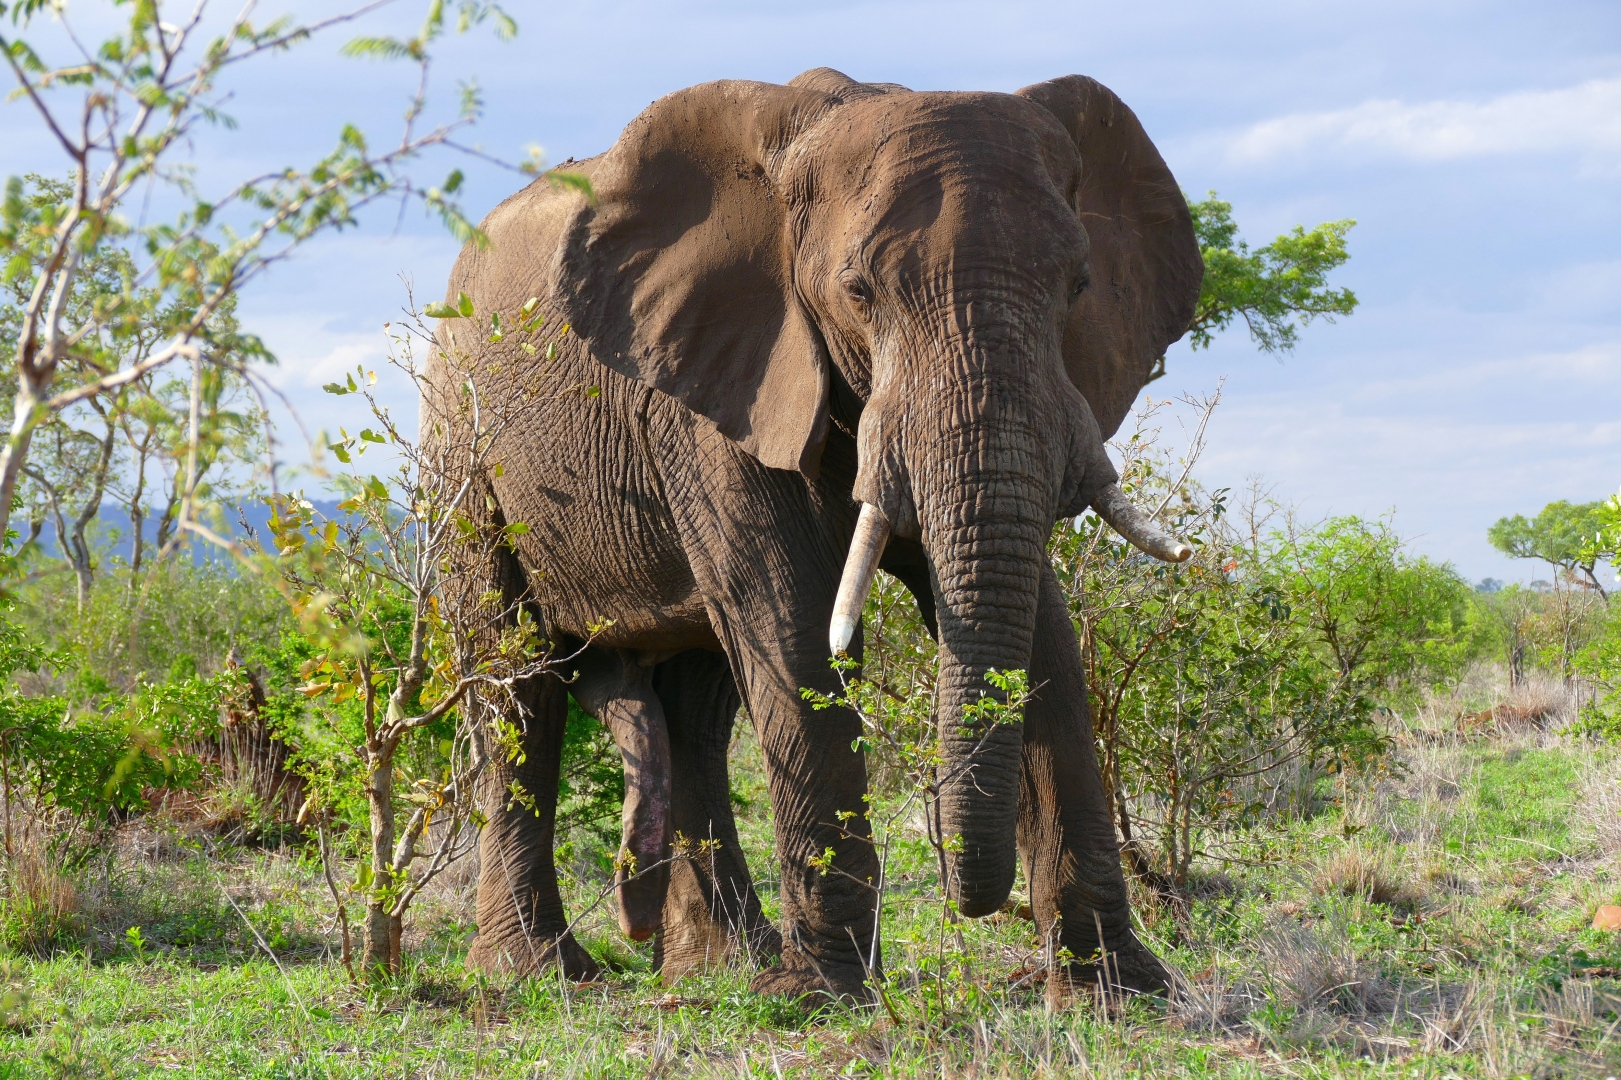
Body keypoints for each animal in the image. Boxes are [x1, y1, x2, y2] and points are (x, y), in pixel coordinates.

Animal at [434, 63, 1206, 998]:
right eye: (859, 292)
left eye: (1080, 285)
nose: (972, 902)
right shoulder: (718, 387)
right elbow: (796, 625)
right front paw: (826, 995)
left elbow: (1041, 630)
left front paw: (1120, 991)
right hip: (463, 445)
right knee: (518, 680)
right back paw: (540, 975)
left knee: (697, 705)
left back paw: (720, 968)